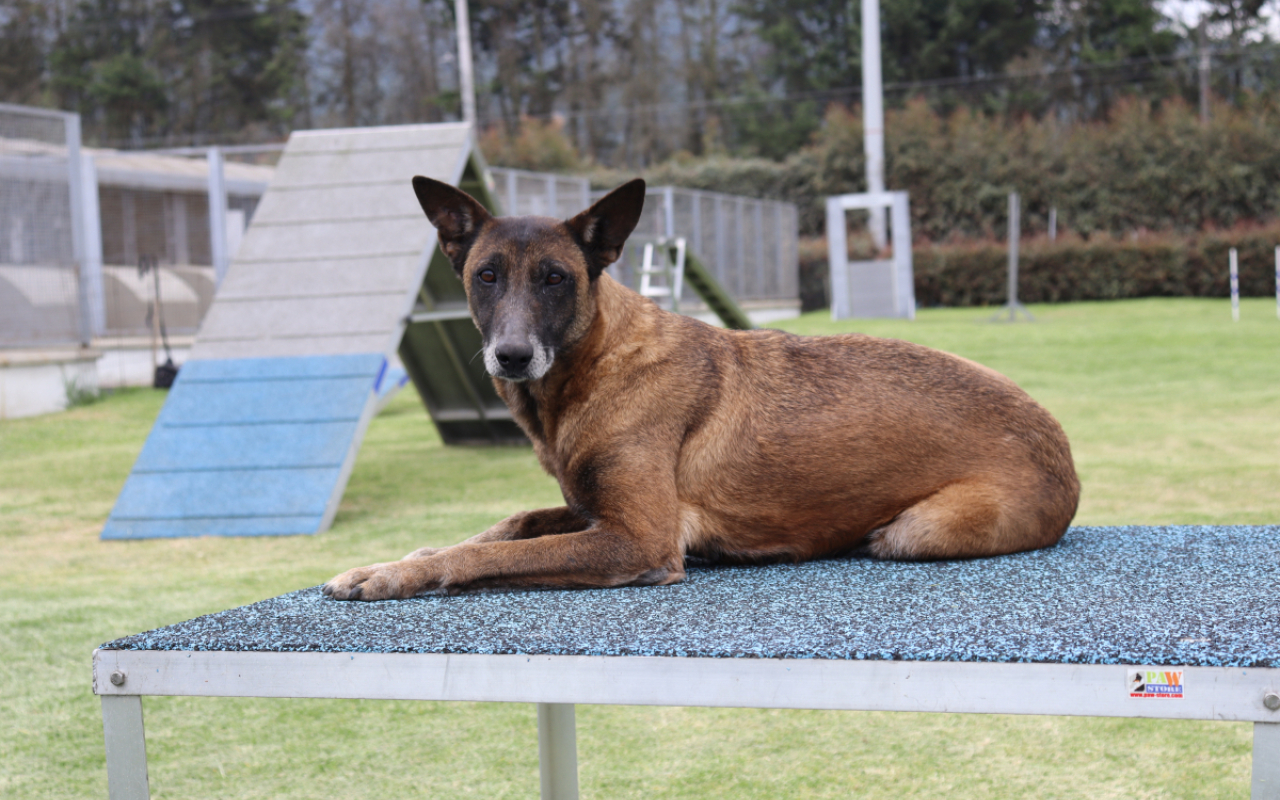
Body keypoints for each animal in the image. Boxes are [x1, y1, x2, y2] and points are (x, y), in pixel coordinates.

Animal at [322, 176, 1080, 599]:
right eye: (486, 276)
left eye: (555, 278)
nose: (510, 357)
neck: (597, 365)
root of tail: (1062, 449)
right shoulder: (593, 511)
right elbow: (508, 525)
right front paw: (404, 556)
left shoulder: (637, 539)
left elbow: (487, 554)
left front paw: (399, 573)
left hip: (915, 531)